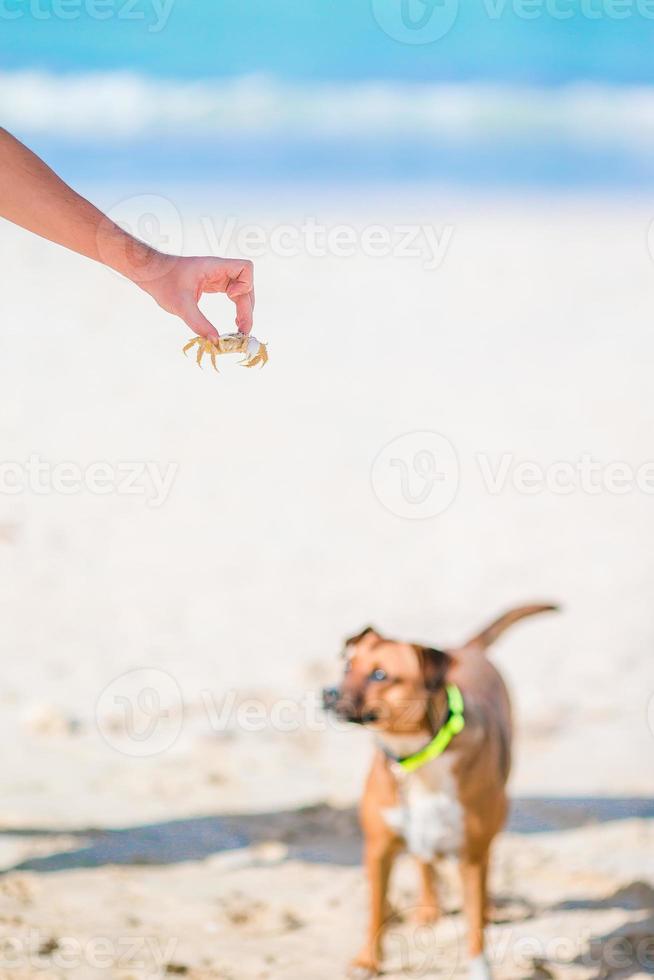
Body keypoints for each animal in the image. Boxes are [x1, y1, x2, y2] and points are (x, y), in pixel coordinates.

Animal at [324, 604, 560, 980]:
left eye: (380, 675)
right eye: (348, 667)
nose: (328, 694)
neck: (417, 755)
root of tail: (467, 649)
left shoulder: (472, 856)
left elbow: (474, 923)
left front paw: (479, 969)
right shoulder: (378, 850)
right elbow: (376, 910)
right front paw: (367, 961)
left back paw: (488, 905)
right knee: (424, 860)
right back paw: (429, 907)